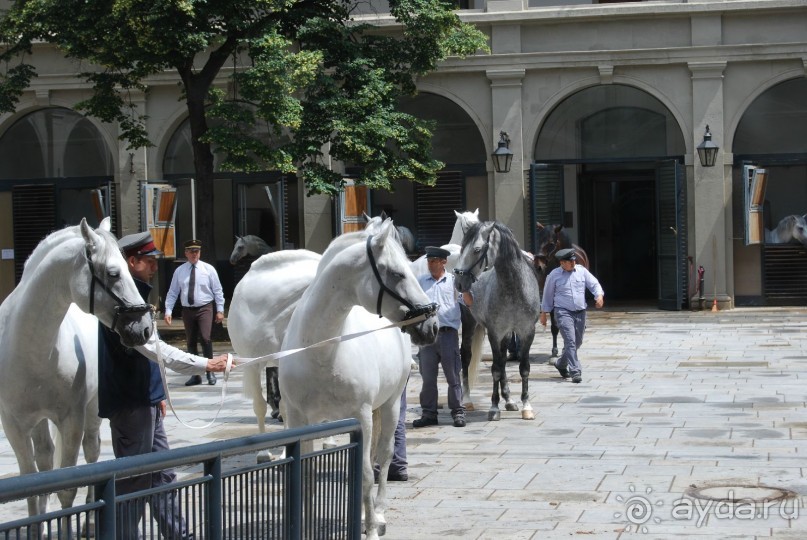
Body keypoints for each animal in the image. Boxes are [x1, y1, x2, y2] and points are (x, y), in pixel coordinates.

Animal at [0, 218, 154, 520]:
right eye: (113, 273)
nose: (144, 328)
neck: (30, 348)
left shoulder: (72, 418)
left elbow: (67, 489)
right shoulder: (13, 424)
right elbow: (33, 487)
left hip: (93, 410)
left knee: (91, 452)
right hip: (38, 419)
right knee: (45, 459)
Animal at [280, 220, 438, 540]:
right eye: (397, 273)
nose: (432, 326)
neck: (321, 351)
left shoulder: (361, 416)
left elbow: (365, 474)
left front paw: (372, 529)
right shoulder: (299, 417)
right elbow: (306, 474)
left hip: (390, 406)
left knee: (384, 457)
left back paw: (377, 515)